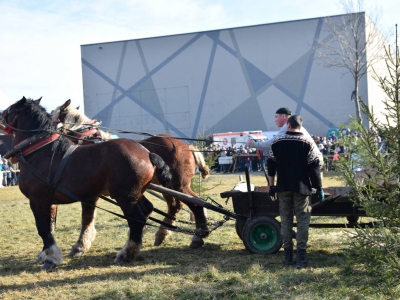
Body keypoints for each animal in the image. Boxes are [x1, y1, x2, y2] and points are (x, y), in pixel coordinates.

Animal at [0, 97, 171, 270]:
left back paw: (126, 254)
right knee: (146, 210)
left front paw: (51, 259)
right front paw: (46, 254)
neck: (40, 151)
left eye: (10, 109)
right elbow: (51, 226)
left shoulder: (38, 200)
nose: (0, 116)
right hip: (136, 194)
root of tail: (147, 152)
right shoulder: (50, 202)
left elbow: (44, 228)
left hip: (125, 197)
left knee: (137, 219)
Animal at [51, 99, 211, 250]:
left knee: (196, 203)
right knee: (175, 205)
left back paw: (197, 236)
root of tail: (188, 147)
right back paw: (163, 233)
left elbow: (87, 216)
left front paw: (81, 244)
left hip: (179, 185)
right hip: (167, 186)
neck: (85, 141)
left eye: (54, 119)